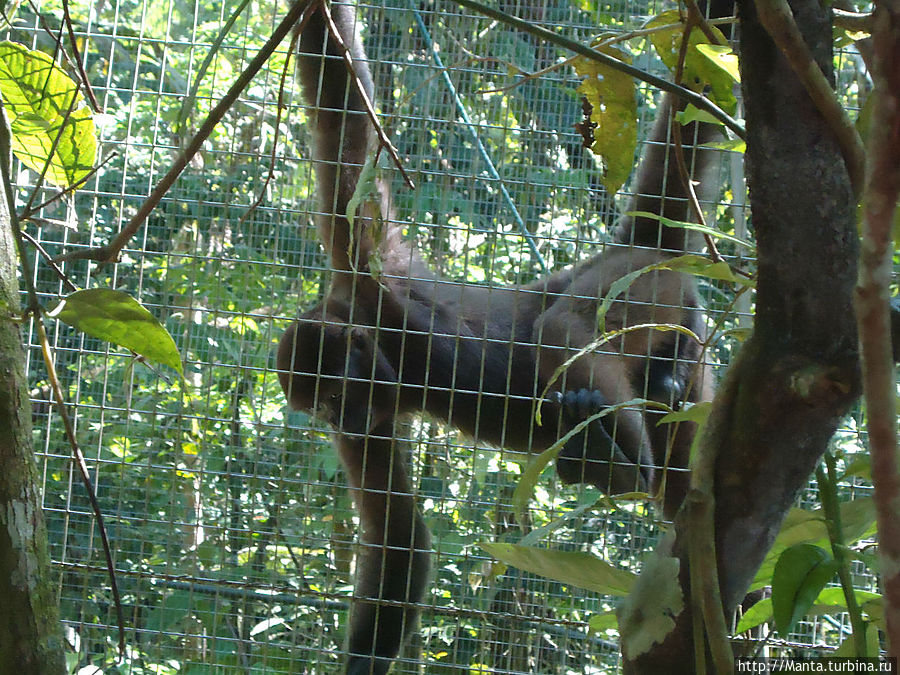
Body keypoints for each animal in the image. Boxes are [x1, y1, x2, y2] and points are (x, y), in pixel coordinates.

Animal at [280, 2, 732, 672]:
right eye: (325, 411)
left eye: (335, 396)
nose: (342, 421)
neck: (386, 347)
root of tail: (636, 245)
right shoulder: (372, 400)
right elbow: (398, 541)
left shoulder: (372, 283)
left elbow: (344, 125)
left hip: (639, 284)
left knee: (563, 323)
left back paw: (616, 457)